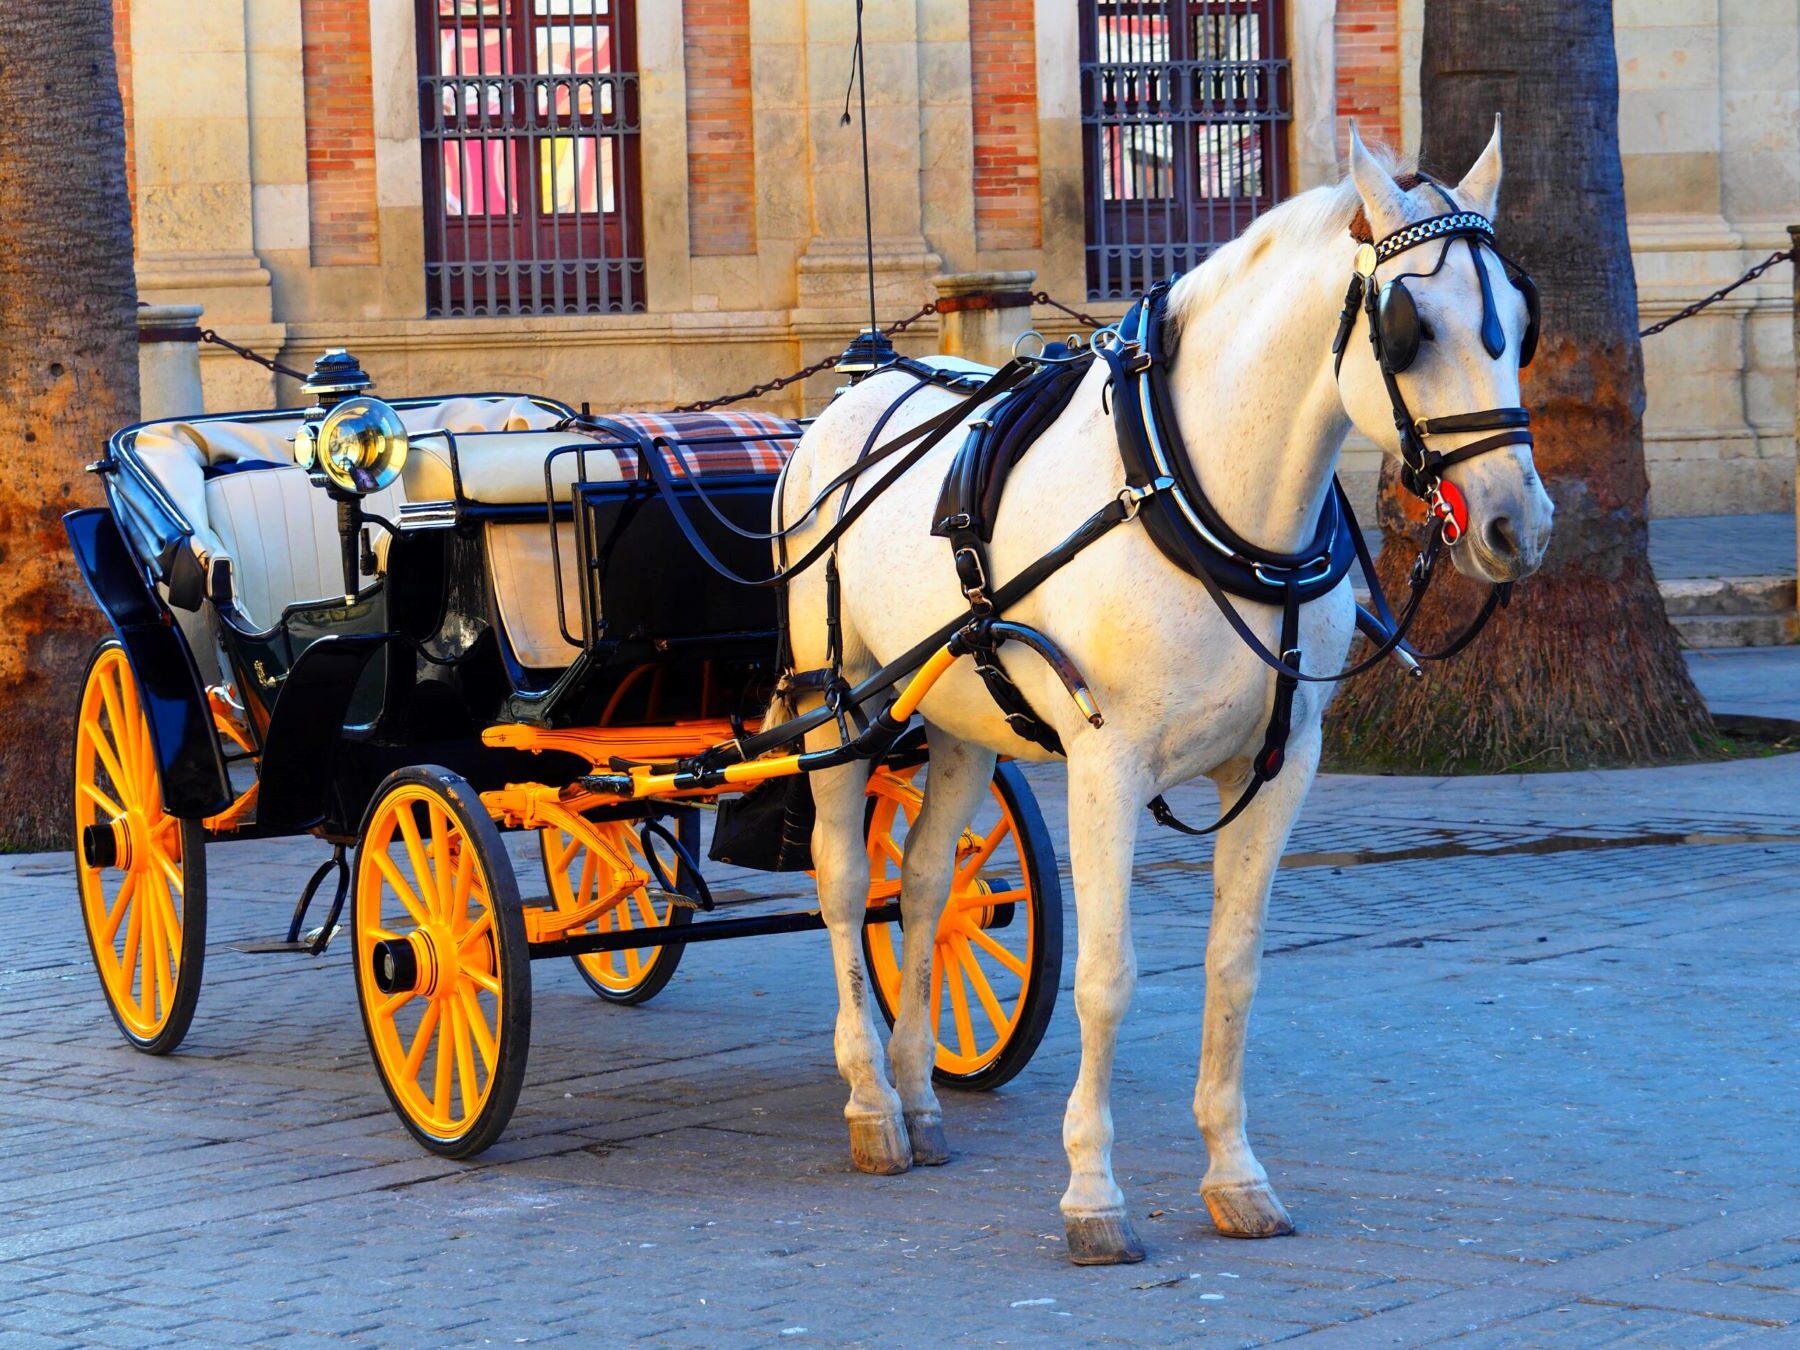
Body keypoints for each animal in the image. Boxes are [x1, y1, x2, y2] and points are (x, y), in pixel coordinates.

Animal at [773, 121, 1553, 1265]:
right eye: (1411, 329)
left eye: (1519, 330)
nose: (1517, 526)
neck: (1197, 494)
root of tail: (855, 392)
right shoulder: (1107, 765)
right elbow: (1106, 978)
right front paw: (1093, 1195)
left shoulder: (1283, 764)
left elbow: (1233, 970)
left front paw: (1235, 1175)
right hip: (835, 702)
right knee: (839, 885)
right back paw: (871, 1101)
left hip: (961, 718)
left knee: (918, 890)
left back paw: (918, 1096)